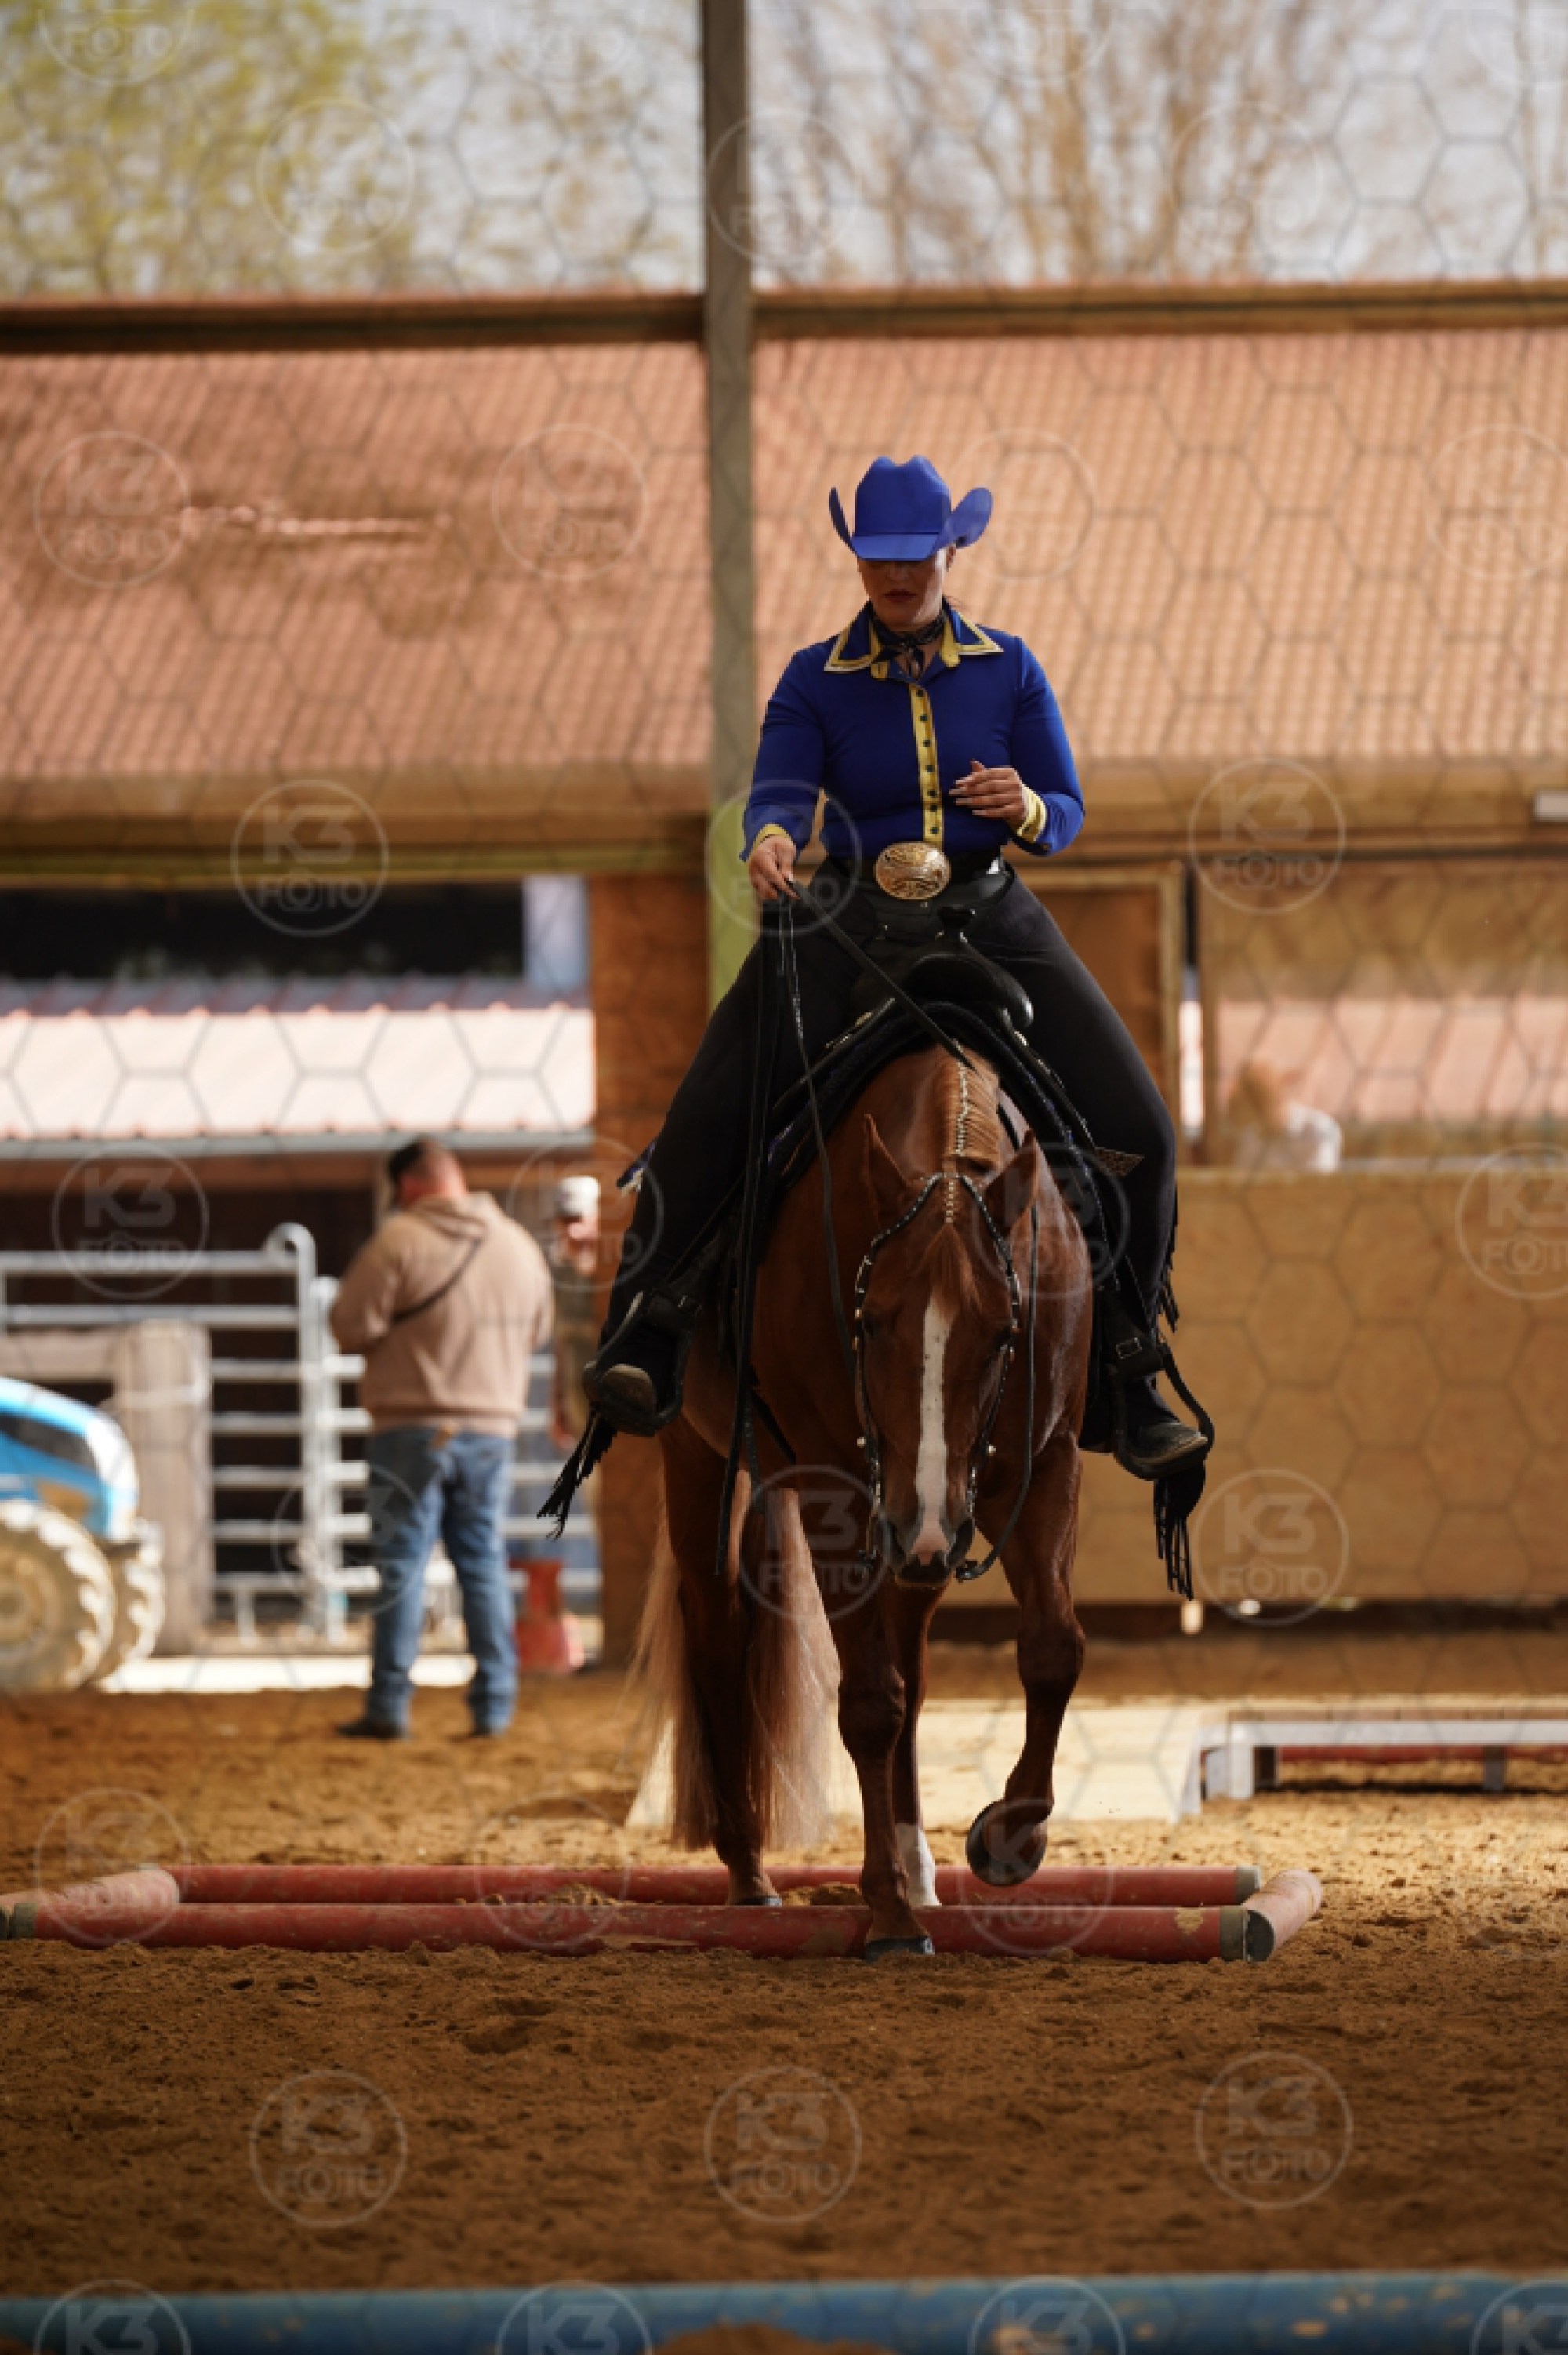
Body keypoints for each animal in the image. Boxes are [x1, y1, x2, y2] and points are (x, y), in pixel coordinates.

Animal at [638, 1037, 1095, 1956]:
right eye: (873, 1320)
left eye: (1004, 1332)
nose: (919, 1523)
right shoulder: (835, 1486)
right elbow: (870, 1703)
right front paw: (883, 1911)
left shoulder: (1042, 1466)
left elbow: (1052, 1648)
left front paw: (1007, 1837)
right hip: (706, 1461)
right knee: (719, 1637)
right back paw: (751, 1874)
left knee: (911, 1660)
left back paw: (919, 1868)